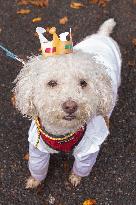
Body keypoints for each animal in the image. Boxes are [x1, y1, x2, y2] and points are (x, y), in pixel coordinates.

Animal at [13, 18, 121, 188]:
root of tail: (102, 35)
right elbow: (37, 167)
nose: (70, 106)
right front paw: (35, 181)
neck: (62, 133)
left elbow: (82, 167)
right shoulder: (37, 148)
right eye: (51, 83)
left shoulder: (89, 148)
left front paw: (75, 177)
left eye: (83, 83)